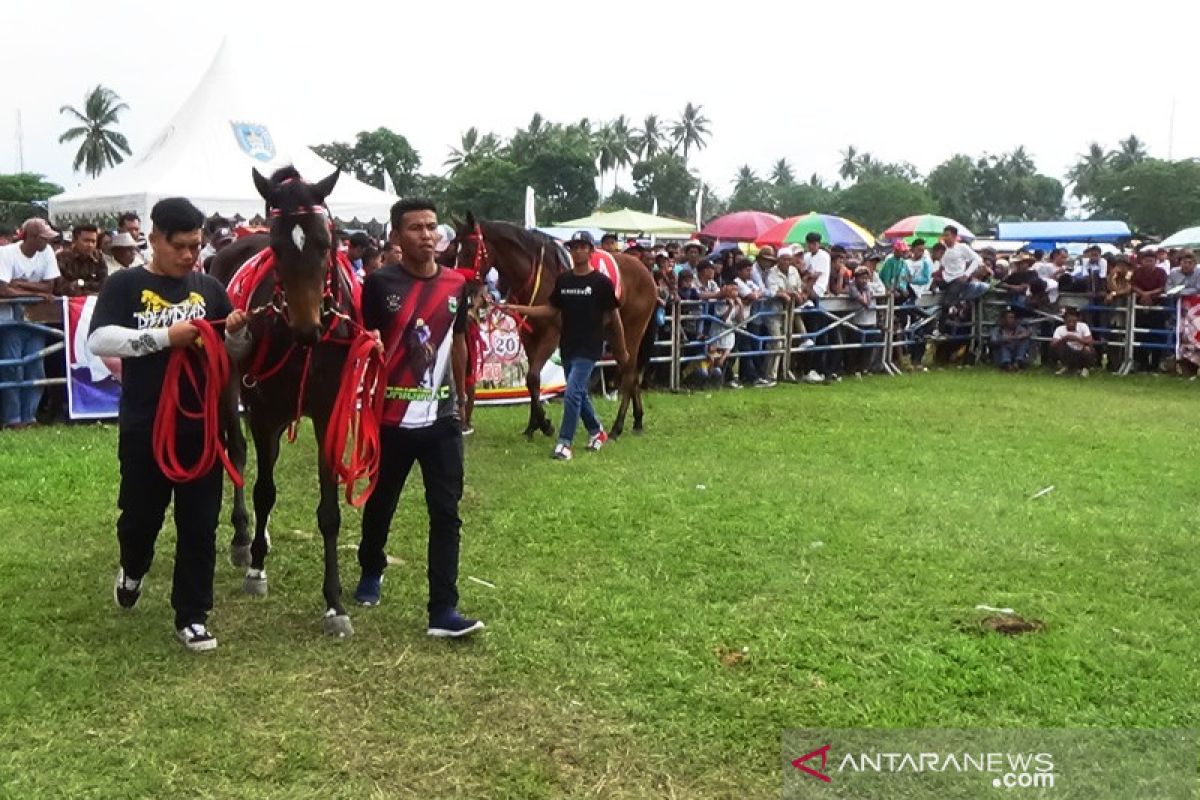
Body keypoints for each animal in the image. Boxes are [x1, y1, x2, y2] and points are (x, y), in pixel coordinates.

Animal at [208, 164, 357, 638]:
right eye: (275, 246)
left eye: (327, 241)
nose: (307, 329)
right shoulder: (264, 412)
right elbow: (264, 490)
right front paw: (256, 567)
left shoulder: (329, 413)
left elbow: (329, 511)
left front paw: (334, 602)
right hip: (230, 384)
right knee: (238, 453)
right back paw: (244, 539)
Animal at [453, 217, 657, 438]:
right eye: (455, 250)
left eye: (469, 250)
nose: (466, 293)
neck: (537, 275)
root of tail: (645, 270)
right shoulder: (528, 336)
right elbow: (532, 381)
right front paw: (534, 424)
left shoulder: (551, 335)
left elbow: (533, 377)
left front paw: (544, 423)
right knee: (631, 369)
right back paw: (637, 420)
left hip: (632, 330)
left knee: (629, 371)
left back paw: (618, 425)